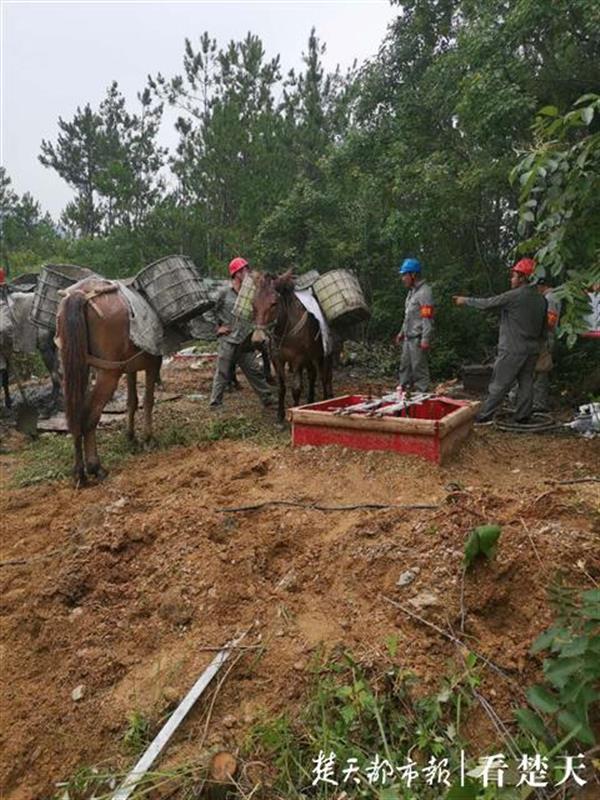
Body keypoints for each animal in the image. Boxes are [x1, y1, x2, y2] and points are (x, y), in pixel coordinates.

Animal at [56, 278, 162, 484]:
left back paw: (79, 472)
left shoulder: (129, 368)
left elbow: (132, 401)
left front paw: (131, 436)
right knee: (90, 416)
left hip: (76, 368)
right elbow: (148, 401)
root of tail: (81, 294)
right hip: (108, 374)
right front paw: (148, 438)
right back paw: (95, 467)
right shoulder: (152, 364)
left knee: (76, 414)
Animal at [250, 272, 332, 422]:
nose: (258, 340)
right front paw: (280, 416)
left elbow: (296, 389)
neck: (285, 329)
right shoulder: (277, 359)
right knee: (312, 375)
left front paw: (294, 412)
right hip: (310, 357)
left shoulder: (297, 360)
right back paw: (310, 402)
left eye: (274, 304)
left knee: (325, 378)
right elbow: (281, 387)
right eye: (253, 303)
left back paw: (325, 399)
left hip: (324, 355)